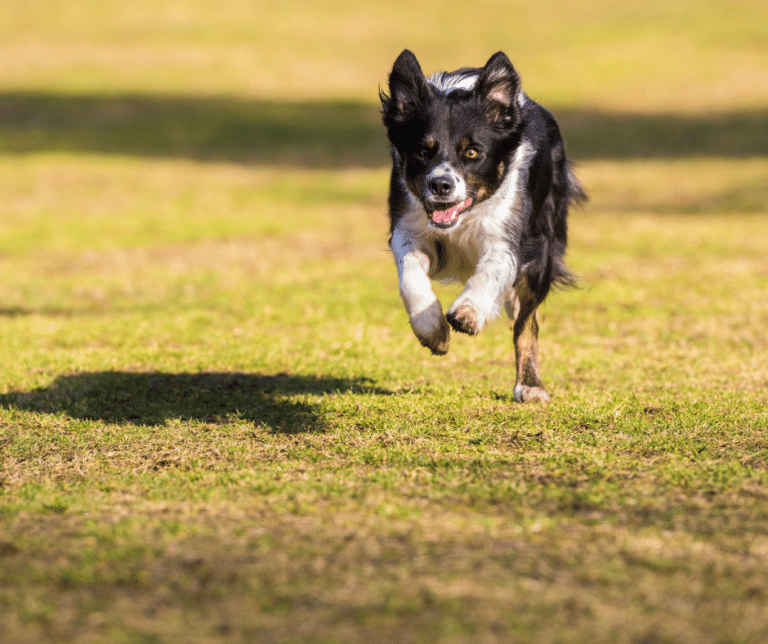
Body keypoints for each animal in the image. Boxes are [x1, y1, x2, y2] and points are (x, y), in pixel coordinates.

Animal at [378, 50, 584, 400]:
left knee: (526, 323)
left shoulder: (509, 236)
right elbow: (411, 278)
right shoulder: (407, 227)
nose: (440, 184)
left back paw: (530, 385)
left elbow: (491, 273)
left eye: (473, 152)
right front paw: (432, 330)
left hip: (543, 245)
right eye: (422, 151)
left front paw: (468, 312)